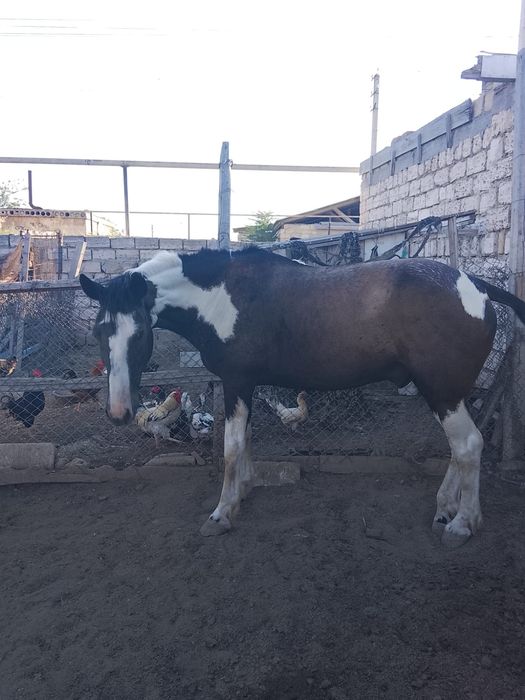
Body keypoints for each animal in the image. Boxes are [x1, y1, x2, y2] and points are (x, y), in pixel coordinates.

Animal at [79, 246, 525, 547]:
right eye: (100, 331)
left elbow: (231, 446)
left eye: (139, 332)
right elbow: (247, 440)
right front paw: (243, 490)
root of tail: (476, 287)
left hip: (443, 391)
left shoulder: (237, 382)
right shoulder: (247, 386)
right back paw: (445, 508)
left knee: (468, 445)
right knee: (460, 448)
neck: (221, 297)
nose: (118, 412)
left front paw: (222, 513)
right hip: (444, 392)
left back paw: (462, 523)